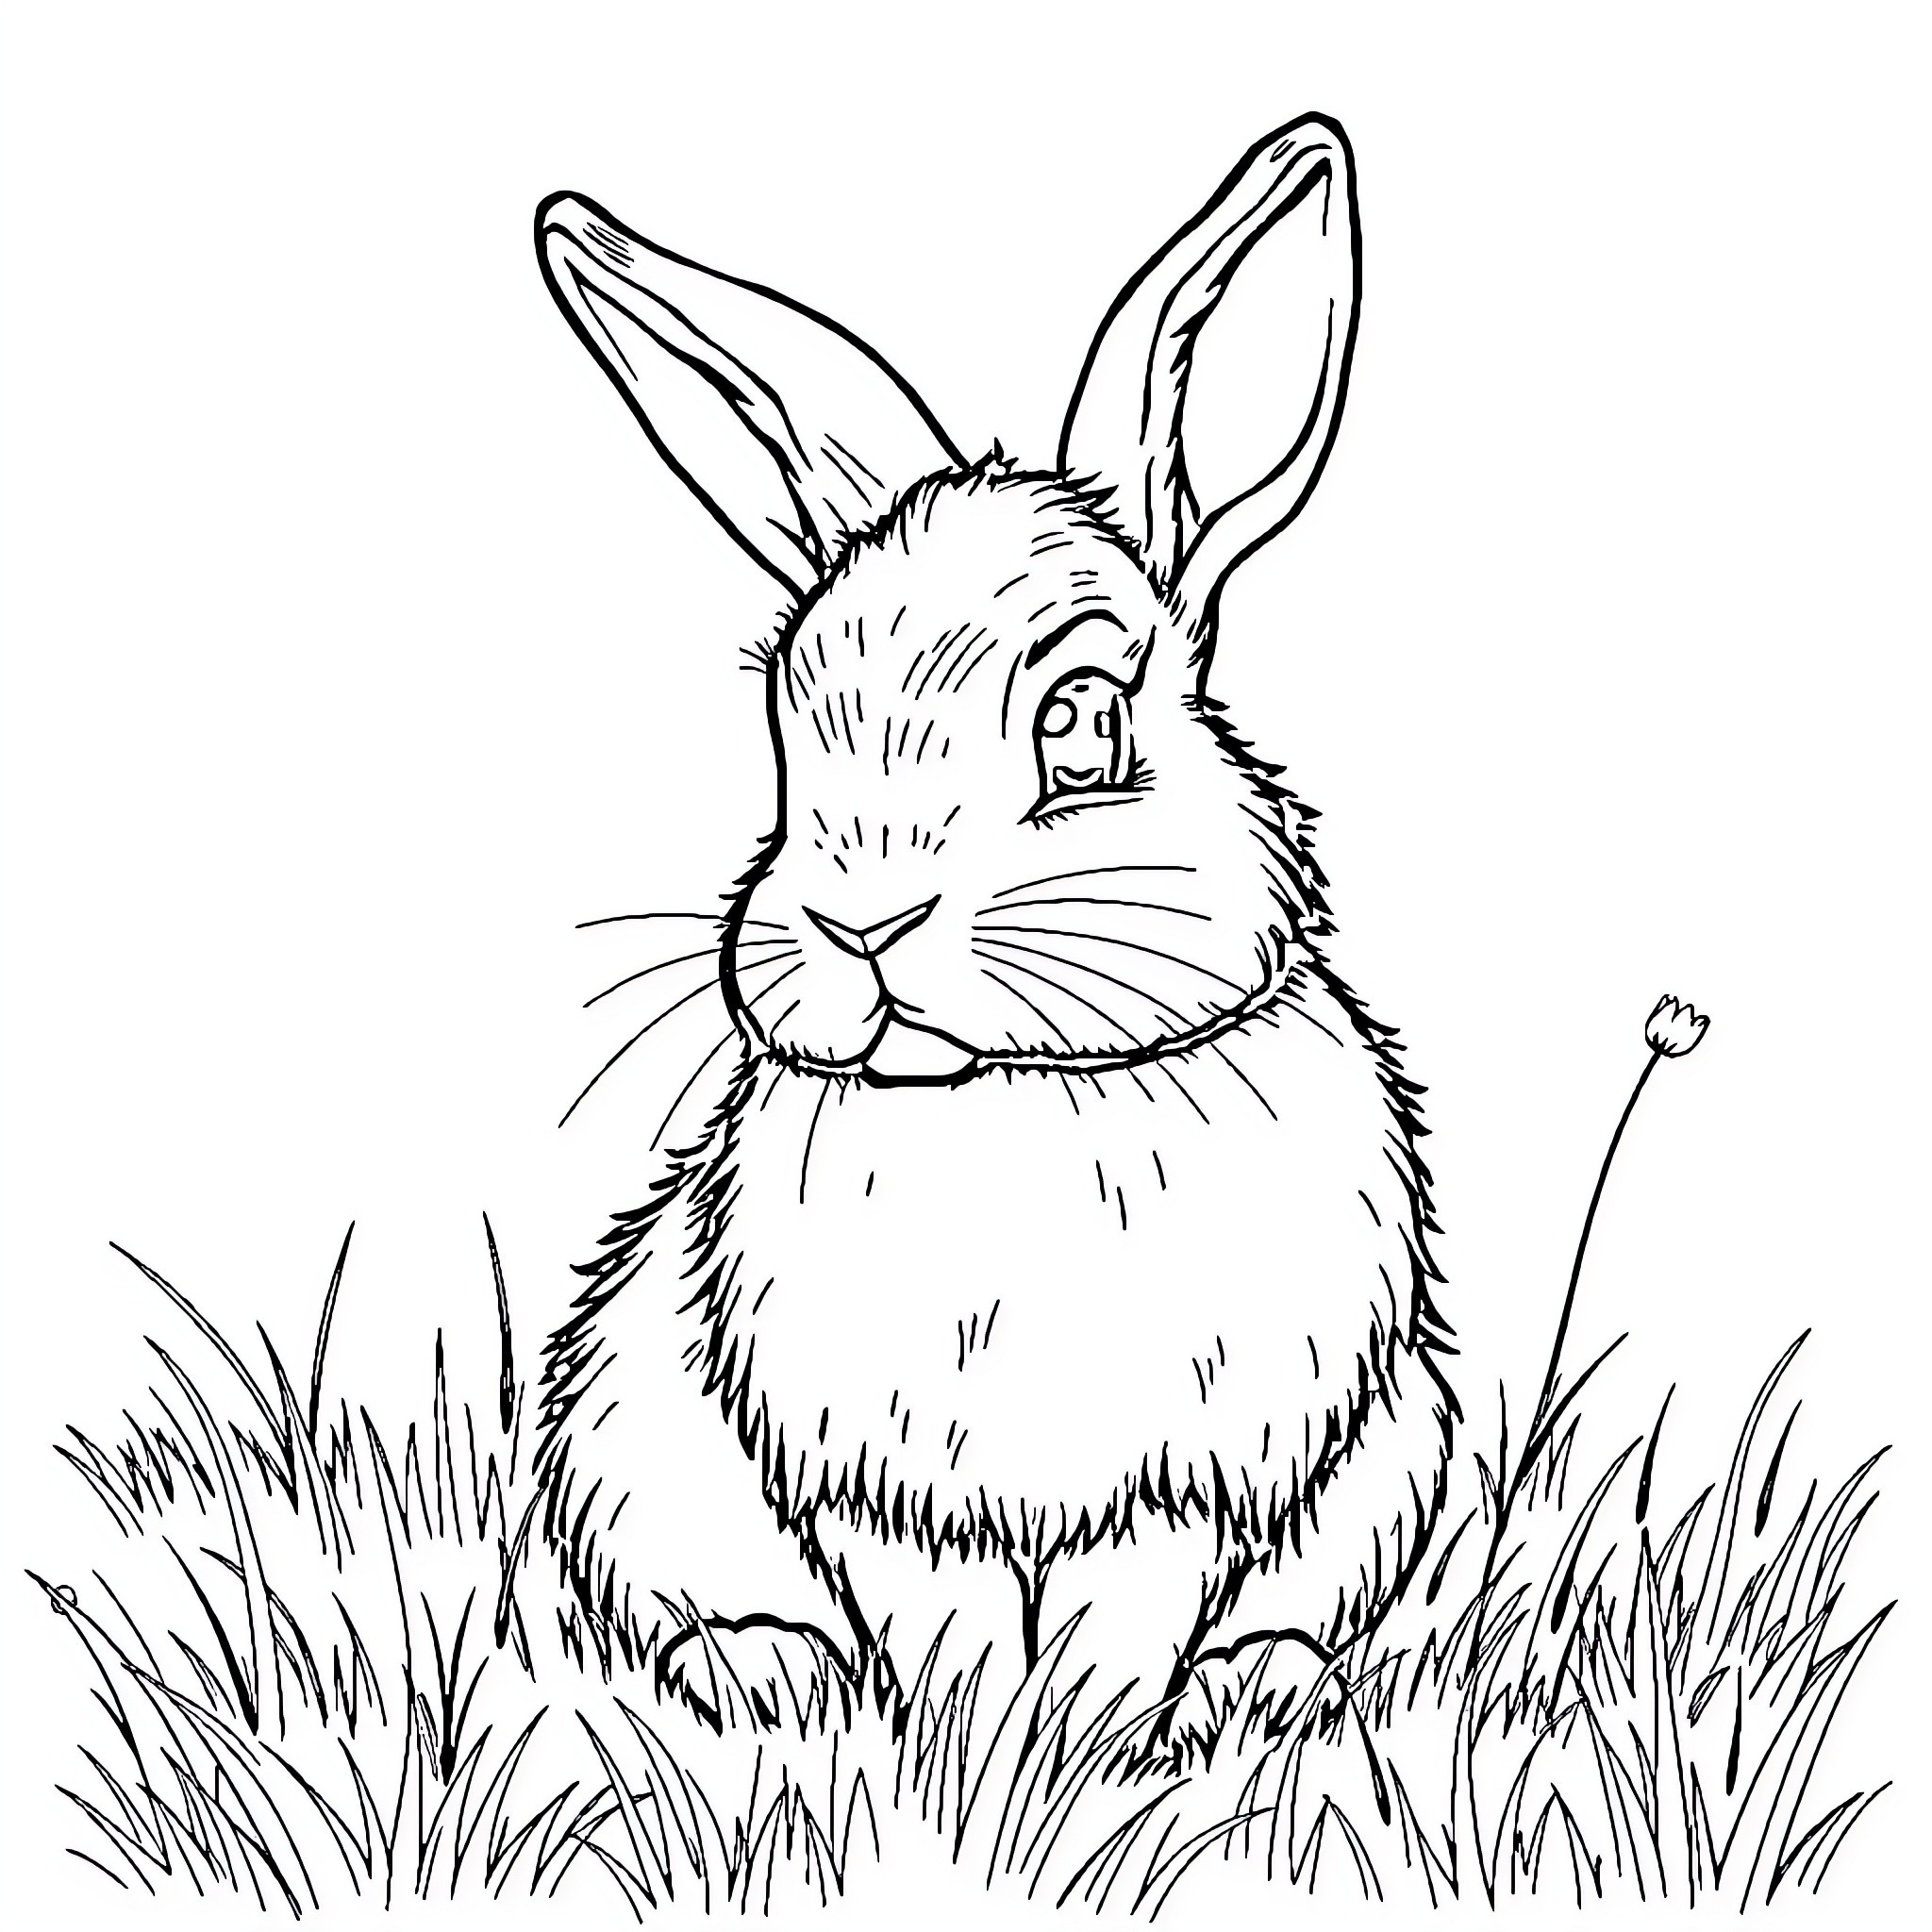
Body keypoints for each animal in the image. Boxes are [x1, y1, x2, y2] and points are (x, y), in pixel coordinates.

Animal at [532, 113, 1459, 1728]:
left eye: (1081, 721)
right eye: (787, 716)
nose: (858, 924)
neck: (1013, 1102)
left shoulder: (1181, 1493)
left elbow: (1116, 1632)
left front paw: (1088, 1746)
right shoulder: (881, 1492)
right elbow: (939, 1632)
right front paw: (957, 1744)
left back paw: (1262, 1689)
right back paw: (764, 1671)